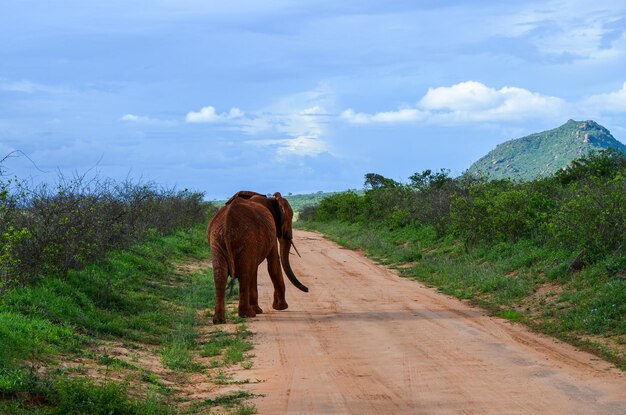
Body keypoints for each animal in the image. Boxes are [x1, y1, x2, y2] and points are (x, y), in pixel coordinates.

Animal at [208, 191, 308, 324]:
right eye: (290, 217)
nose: (307, 290)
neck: (271, 199)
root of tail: (227, 222)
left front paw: (263, 309)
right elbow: (273, 264)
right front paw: (280, 307)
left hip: (216, 240)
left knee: (221, 276)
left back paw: (219, 320)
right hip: (245, 238)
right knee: (245, 274)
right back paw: (247, 314)